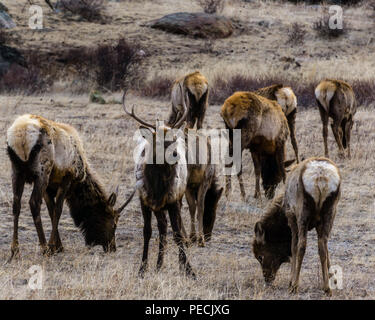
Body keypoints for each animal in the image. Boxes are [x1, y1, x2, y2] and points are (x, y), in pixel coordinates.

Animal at [6, 114, 128, 262]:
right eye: (113, 222)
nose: (112, 247)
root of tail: (21, 135)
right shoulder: (66, 177)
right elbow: (57, 210)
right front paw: (54, 246)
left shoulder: (50, 186)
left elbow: (51, 210)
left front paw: (58, 246)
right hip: (42, 171)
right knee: (33, 203)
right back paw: (44, 248)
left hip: (16, 171)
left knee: (16, 204)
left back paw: (15, 250)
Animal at [122, 89, 197, 278]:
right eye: (158, 141)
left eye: (174, 139)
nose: (176, 155)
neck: (157, 187)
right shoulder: (144, 200)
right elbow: (147, 232)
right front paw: (142, 268)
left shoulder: (173, 199)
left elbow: (177, 234)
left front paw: (188, 269)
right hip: (158, 206)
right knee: (162, 227)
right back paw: (158, 264)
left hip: (177, 197)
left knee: (170, 228)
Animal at [254, 157, 342, 296]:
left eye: (260, 256)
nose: (267, 278)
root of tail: (321, 176)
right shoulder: (320, 223)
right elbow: (326, 248)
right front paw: (332, 279)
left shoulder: (291, 217)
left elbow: (293, 247)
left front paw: (291, 281)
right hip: (331, 210)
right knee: (322, 245)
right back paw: (327, 288)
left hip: (302, 212)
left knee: (302, 246)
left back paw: (295, 286)